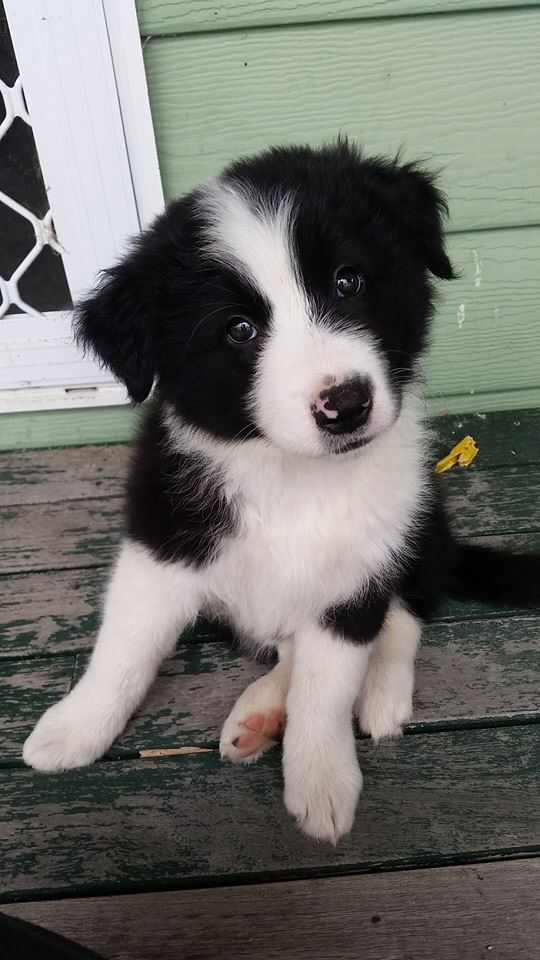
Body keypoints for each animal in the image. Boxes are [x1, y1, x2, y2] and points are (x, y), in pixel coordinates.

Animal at [25, 141, 540, 840]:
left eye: (348, 282)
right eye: (239, 329)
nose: (346, 405)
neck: (291, 477)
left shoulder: (359, 574)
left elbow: (328, 687)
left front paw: (321, 779)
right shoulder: (163, 541)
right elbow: (125, 647)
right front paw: (76, 727)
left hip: (420, 520)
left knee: (408, 608)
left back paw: (379, 692)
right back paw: (262, 711)